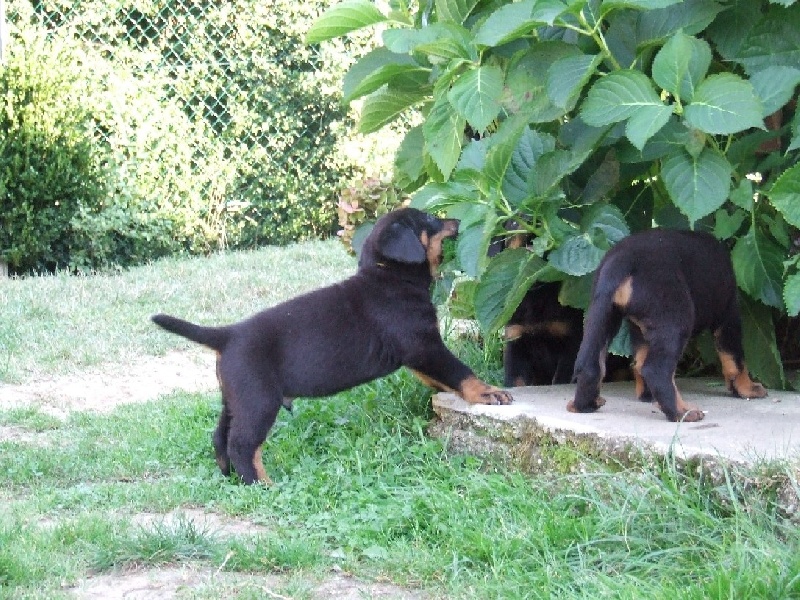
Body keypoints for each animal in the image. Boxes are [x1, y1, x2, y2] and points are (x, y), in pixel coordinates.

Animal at [151, 209, 512, 486]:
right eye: (429, 219)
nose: (458, 219)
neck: (390, 277)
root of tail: (225, 335)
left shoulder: (418, 355)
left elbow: (440, 378)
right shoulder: (425, 346)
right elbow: (459, 371)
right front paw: (487, 392)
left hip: (236, 398)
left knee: (221, 437)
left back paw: (230, 478)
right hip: (259, 400)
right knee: (243, 445)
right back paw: (260, 484)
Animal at [568, 229, 768, 422]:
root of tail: (622, 261)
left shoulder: (638, 329)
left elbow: (639, 361)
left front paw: (647, 396)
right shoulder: (728, 314)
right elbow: (735, 359)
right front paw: (747, 388)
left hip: (601, 316)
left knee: (590, 365)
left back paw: (584, 405)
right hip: (676, 321)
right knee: (657, 370)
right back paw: (681, 412)